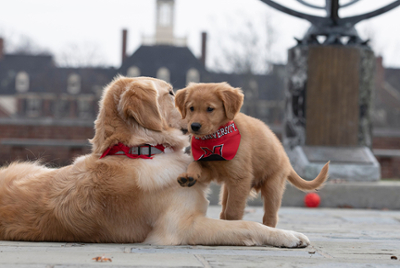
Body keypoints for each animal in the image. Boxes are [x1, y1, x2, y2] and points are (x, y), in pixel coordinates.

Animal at [0, 76, 310, 248]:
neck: (141, 149)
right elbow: (247, 225)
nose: (194, 123)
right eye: (171, 93)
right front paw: (289, 235)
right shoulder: (182, 227)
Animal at [174, 82, 328, 227]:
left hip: (272, 186)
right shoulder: (213, 170)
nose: (194, 126)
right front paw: (189, 175)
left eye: (210, 109)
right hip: (228, 189)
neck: (214, 141)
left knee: (271, 216)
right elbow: (195, 163)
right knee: (224, 208)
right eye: (191, 108)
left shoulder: (240, 178)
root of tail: (287, 160)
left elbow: (232, 212)